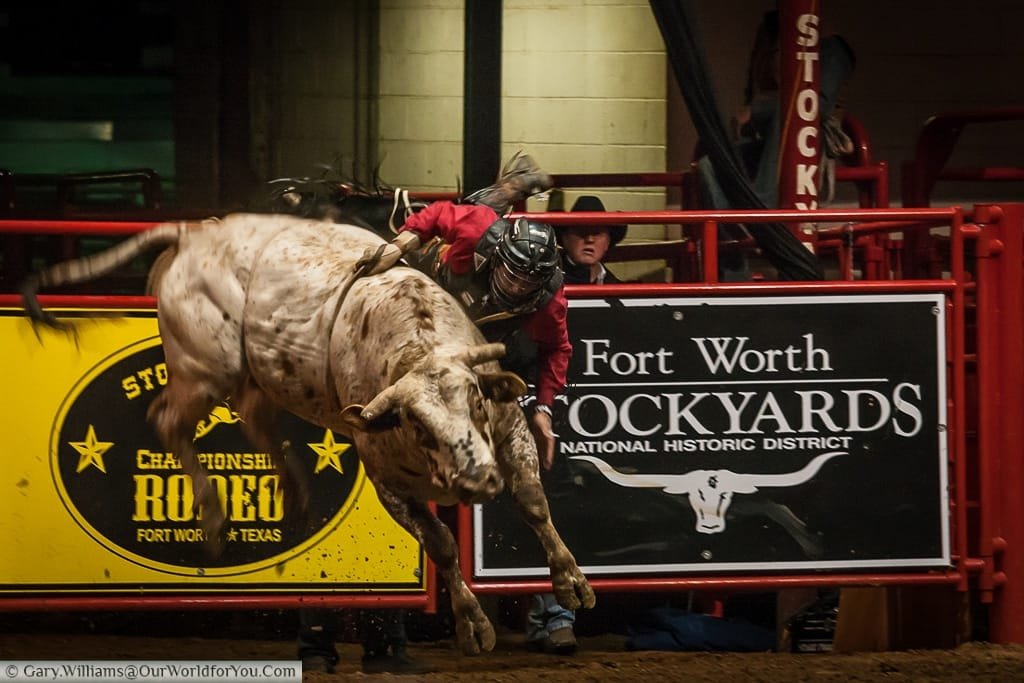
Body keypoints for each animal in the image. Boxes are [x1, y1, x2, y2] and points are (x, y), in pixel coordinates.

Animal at [19, 210, 598, 655]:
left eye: (475, 397)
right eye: (414, 422)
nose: (477, 479)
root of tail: (196, 232)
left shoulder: (507, 428)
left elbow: (533, 502)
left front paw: (572, 582)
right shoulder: (388, 481)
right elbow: (442, 546)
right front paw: (474, 626)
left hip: (256, 375)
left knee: (252, 416)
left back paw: (295, 494)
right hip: (207, 368)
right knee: (169, 420)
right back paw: (214, 520)